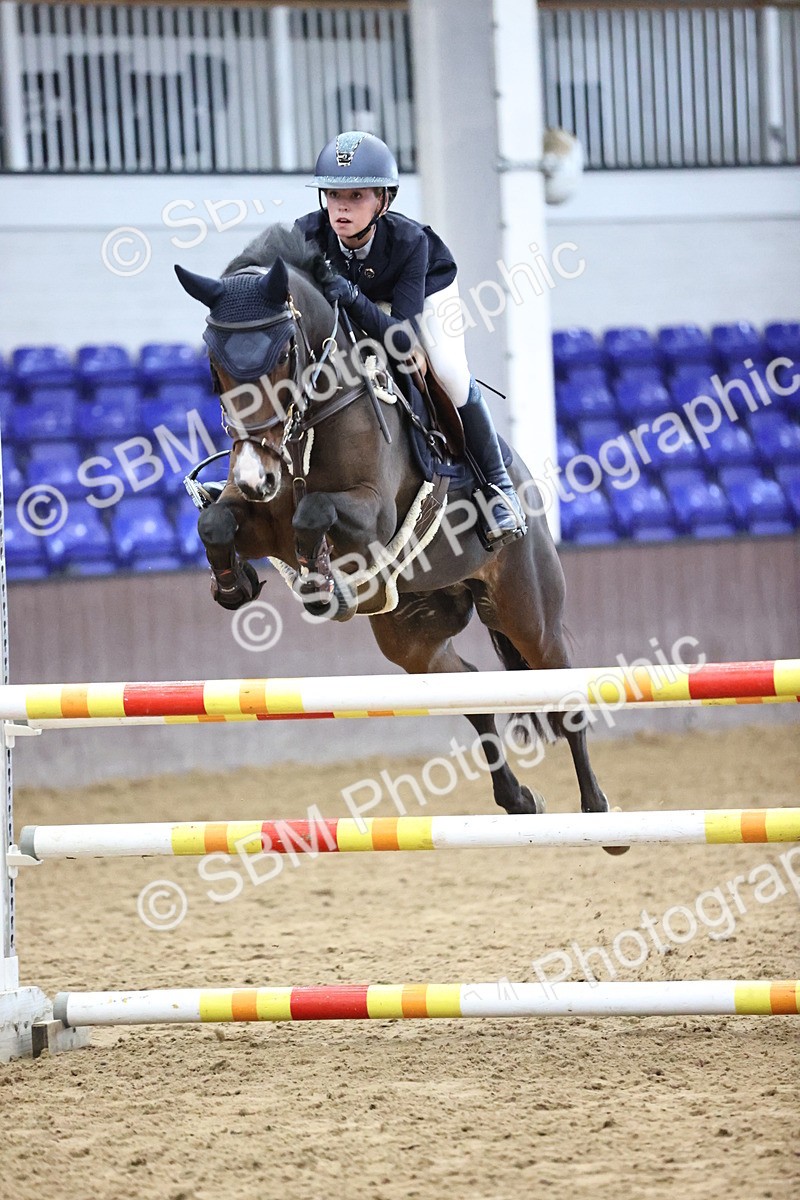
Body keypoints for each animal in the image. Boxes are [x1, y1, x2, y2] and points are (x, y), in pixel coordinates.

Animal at [175, 224, 612, 824]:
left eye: (285, 352)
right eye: (213, 363)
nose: (257, 476)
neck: (311, 422)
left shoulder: (372, 517)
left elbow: (315, 512)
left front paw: (322, 587)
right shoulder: (264, 520)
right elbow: (216, 521)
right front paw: (235, 584)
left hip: (528, 610)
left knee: (563, 694)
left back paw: (600, 813)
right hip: (413, 632)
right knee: (469, 690)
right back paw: (519, 800)